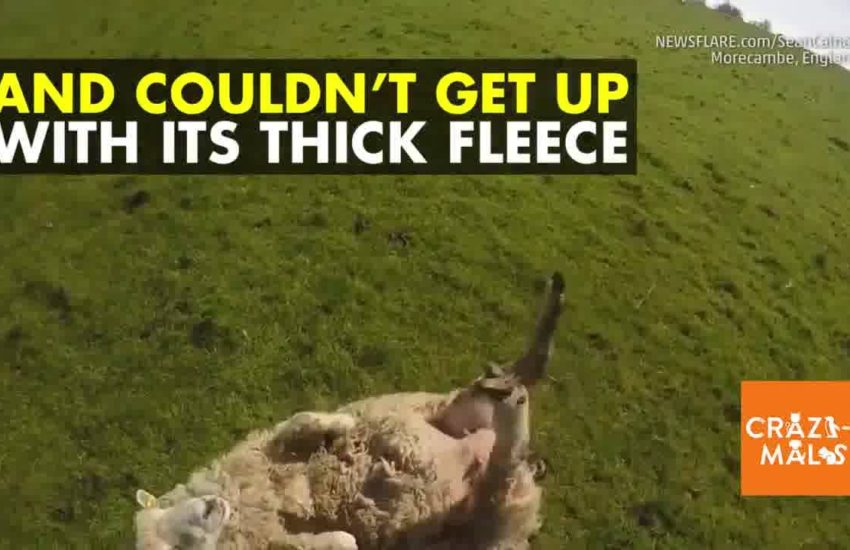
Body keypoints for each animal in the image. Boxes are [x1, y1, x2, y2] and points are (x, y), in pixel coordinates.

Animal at [134, 272, 565, 550]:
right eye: (185, 544)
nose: (213, 506)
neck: (248, 507)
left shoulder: (270, 444)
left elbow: (303, 420)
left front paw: (339, 425)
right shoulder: (291, 542)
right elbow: (343, 540)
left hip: (455, 412)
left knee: (524, 376)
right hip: (494, 508)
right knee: (512, 437)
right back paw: (511, 389)